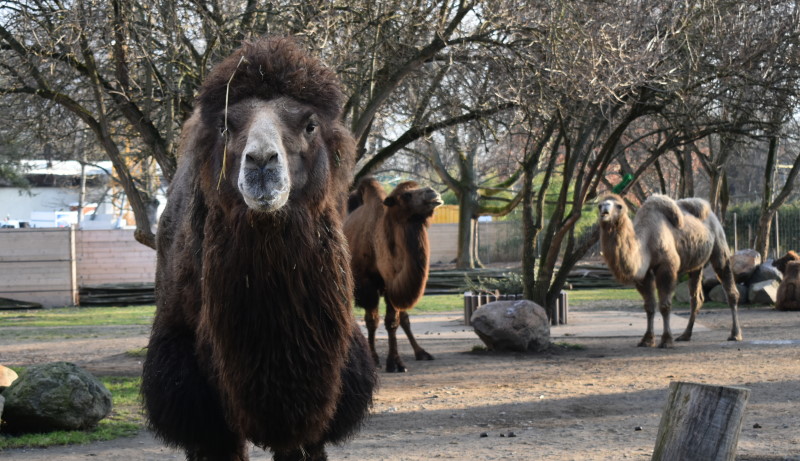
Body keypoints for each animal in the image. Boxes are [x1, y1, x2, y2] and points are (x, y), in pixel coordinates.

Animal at [344, 178, 444, 372]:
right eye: (406, 195)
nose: (432, 192)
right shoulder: (368, 285)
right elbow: (371, 321)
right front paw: (374, 358)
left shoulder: (392, 284)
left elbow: (392, 321)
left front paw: (395, 363)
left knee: (404, 318)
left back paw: (421, 353)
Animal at [592, 192, 744, 346]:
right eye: (599, 205)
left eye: (619, 206)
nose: (604, 211)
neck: (646, 242)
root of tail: (711, 212)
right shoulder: (645, 274)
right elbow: (649, 306)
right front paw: (647, 339)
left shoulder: (667, 267)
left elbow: (665, 305)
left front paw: (666, 340)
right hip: (696, 263)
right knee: (696, 298)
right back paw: (685, 335)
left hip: (719, 244)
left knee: (729, 287)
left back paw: (735, 334)